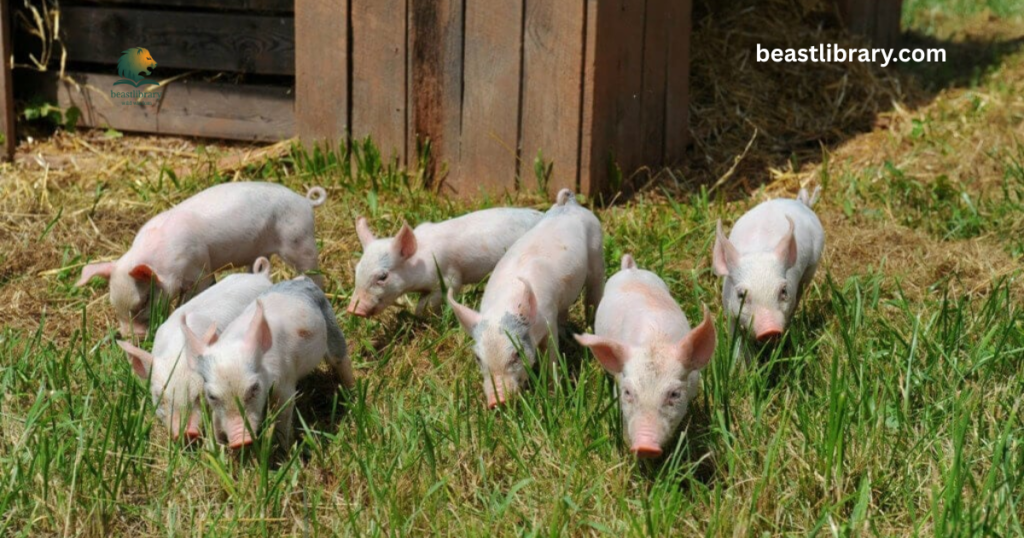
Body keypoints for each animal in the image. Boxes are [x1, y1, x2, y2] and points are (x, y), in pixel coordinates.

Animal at [76, 181, 328, 336]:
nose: (132, 337)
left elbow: (198, 290)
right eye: (112, 304)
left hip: (300, 240)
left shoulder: (199, 268)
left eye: (144, 301)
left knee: (314, 272)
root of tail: (305, 201)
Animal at [183, 277, 353, 449]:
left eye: (254, 388)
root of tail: (301, 280)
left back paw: (352, 393)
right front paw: (218, 447)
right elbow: (216, 422)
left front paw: (285, 449)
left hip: (330, 322)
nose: (240, 441)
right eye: (211, 396)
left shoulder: (285, 382)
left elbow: (283, 415)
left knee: (341, 358)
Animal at [348, 207, 544, 317]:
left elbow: (433, 299)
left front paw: (421, 316)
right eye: (356, 270)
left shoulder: (449, 277)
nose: (352, 309)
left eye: (382, 277)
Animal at [448, 189, 604, 408]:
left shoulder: (548, 319)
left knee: (595, 290)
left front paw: (552, 392)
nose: (497, 401)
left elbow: (551, 355)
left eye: (516, 354)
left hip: (597, 248)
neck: (504, 304)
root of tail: (569, 204)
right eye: (478, 358)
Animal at [712, 186, 824, 344]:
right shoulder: (728, 307)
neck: (758, 251)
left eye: (783, 291)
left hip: (813, 264)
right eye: (741, 295)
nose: (770, 330)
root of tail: (800, 204)